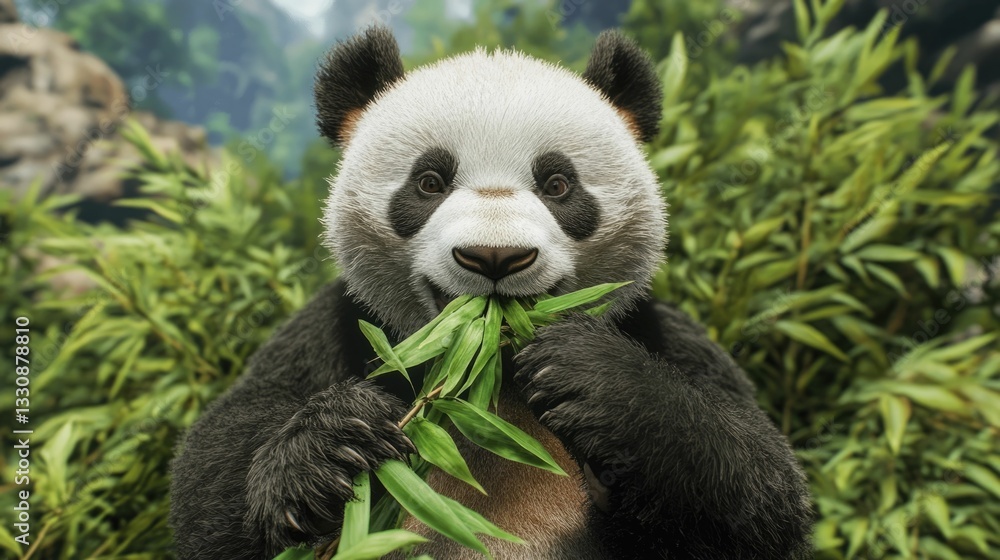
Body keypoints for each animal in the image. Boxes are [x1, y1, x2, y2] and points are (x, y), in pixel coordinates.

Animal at [170, 25, 812, 560]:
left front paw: (587, 377)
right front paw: (335, 446)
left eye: (558, 184)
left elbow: (763, 487)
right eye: (429, 182)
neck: (487, 375)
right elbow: (214, 474)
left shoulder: (653, 328)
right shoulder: (345, 327)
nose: (495, 258)